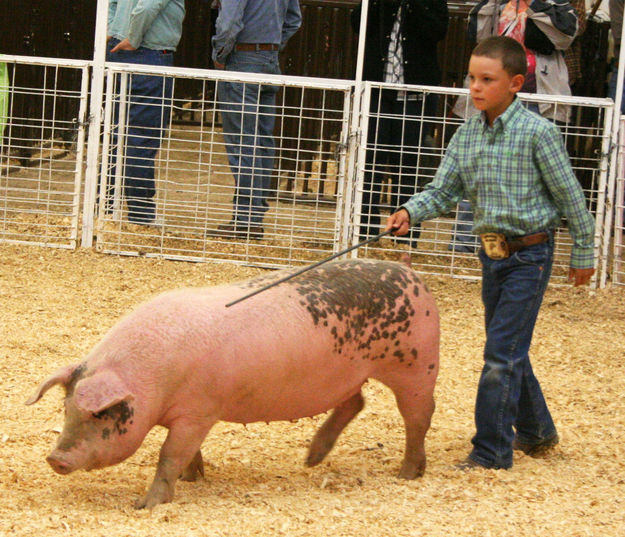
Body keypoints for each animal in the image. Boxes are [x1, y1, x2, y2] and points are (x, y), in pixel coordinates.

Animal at [26, 258, 438, 508]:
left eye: (100, 415)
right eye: (66, 409)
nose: (55, 458)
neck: (152, 382)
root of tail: (412, 275)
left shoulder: (198, 411)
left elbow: (169, 454)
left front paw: (147, 505)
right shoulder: (189, 417)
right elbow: (187, 452)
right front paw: (195, 478)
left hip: (416, 365)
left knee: (418, 416)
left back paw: (406, 474)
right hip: (352, 375)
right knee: (356, 402)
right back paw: (311, 460)